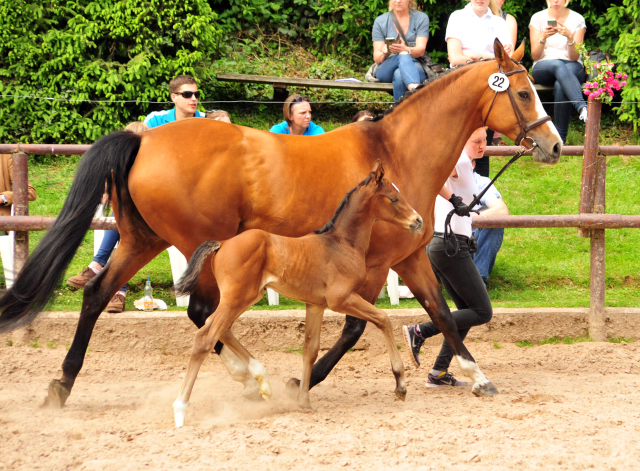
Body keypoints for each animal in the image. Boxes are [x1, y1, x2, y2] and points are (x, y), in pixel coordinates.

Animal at [171, 163, 424, 428]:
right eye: (393, 198)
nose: (418, 220)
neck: (341, 244)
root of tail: (222, 243)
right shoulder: (341, 299)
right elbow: (383, 319)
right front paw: (401, 386)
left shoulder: (315, 305)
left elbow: (310, 349)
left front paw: (303, 401)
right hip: (237, 298)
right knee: (205, 337)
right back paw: (180, 409)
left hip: (245, 297)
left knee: (218, 327)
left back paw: (262, 381)